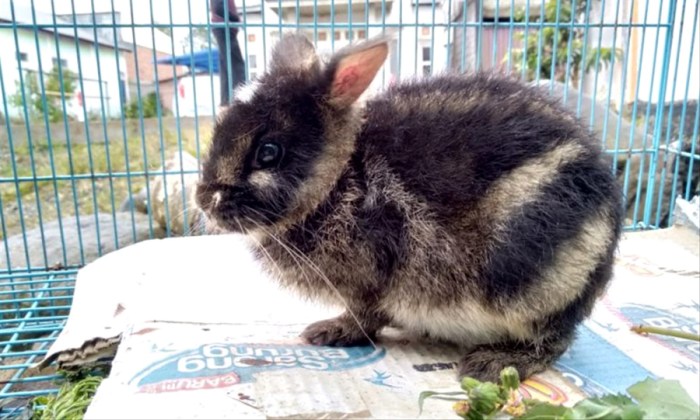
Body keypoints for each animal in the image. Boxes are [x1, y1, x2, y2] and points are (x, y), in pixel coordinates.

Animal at [196, 32, 624, 380]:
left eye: (268, 153)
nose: (204, 201)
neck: (341, 177)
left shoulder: (373, 279)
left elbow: (365, 316)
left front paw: (330, 332)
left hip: (522, 275)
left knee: (555, 339)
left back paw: (497, 363)